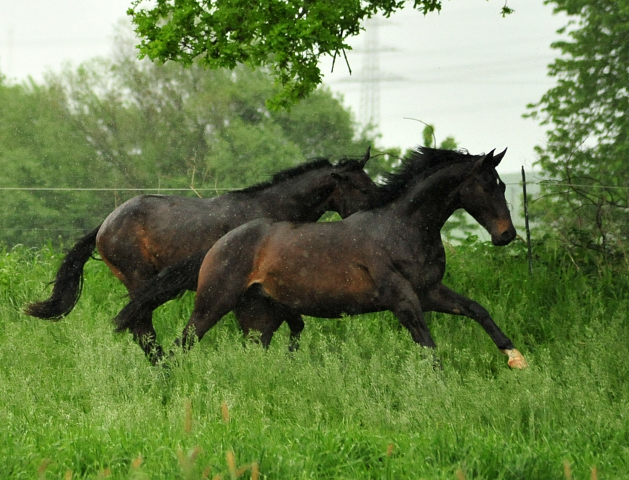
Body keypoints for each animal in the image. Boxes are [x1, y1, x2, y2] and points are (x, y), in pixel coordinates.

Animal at [24, 152, 378, 362]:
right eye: (362, 188)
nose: (376, 216)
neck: (269, 212)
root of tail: (105, 224)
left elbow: (292, 325)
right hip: (139, 281)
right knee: (142, 328)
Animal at [175, 148, 524, 370]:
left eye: (502, 184)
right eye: (484, 186)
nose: (506, 235)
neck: (402, 228)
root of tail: (219, 244)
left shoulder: (429, 292)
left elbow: (477, 310)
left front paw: (516, 358)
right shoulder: (403, 299)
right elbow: (428, 345)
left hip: (260, 317)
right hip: (215, 302)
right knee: (183, 342)